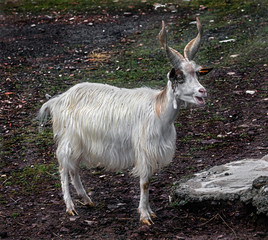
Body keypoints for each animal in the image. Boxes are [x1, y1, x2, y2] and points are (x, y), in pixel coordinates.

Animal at [38, 17, 213, 225]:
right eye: (179, 76)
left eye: (198, 73)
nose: (202, 92)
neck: (158, 112)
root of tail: (57, 100)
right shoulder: (144, 149)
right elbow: (145, 182)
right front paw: (145, 216)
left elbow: (149, 181)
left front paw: (150, 211)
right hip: (68, 139)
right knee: (64, 167)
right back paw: (70, 207)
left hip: (80, 142)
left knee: (74, 169)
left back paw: (87, 199)